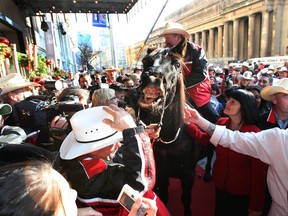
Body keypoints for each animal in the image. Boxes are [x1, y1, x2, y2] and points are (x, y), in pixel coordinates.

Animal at [135, 48, 214, 215]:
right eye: (145, 60)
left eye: (177, 64)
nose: (152, 79)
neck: (170, 142)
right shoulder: (162, 174)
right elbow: (164, 195)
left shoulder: (188, 176)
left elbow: (186, 198)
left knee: (210, 155)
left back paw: (207, 174)